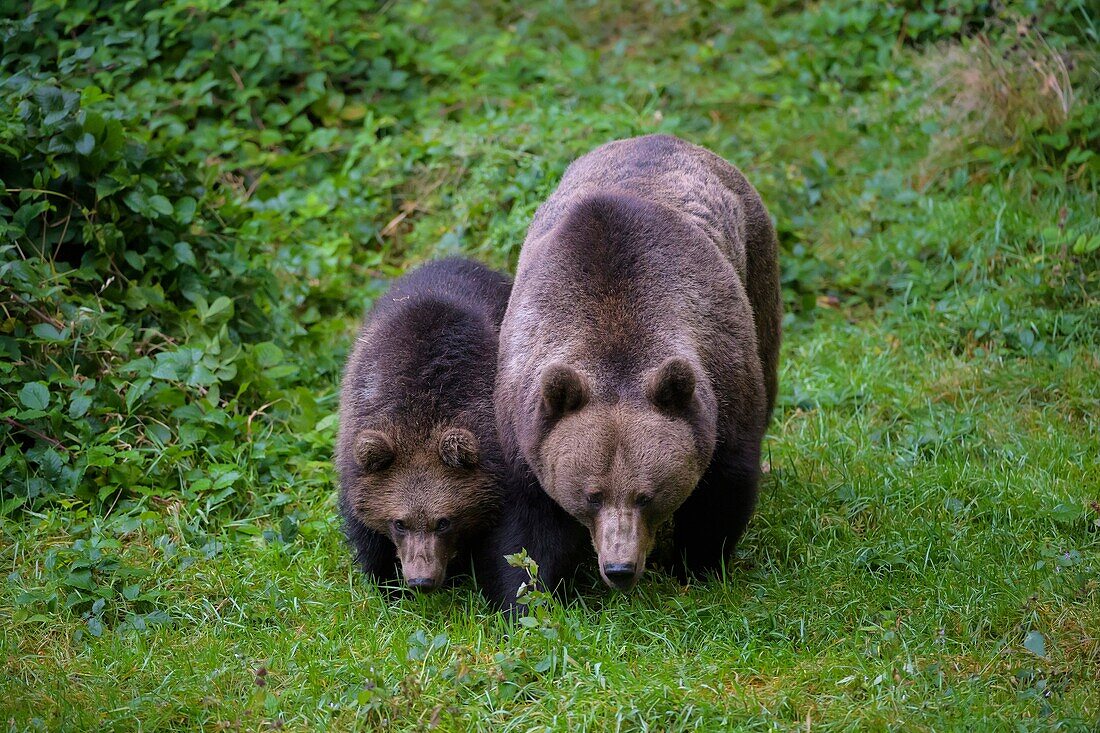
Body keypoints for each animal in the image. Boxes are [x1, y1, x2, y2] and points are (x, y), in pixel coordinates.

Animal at [479, 134, 783, 607]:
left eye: (646, 495)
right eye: (591, 494)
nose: (620, 568)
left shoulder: (722, 374)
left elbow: (722, 486)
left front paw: (696, 565)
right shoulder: (523, 417)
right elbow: (529, 525)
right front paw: (528, 594)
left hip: (757, 262)